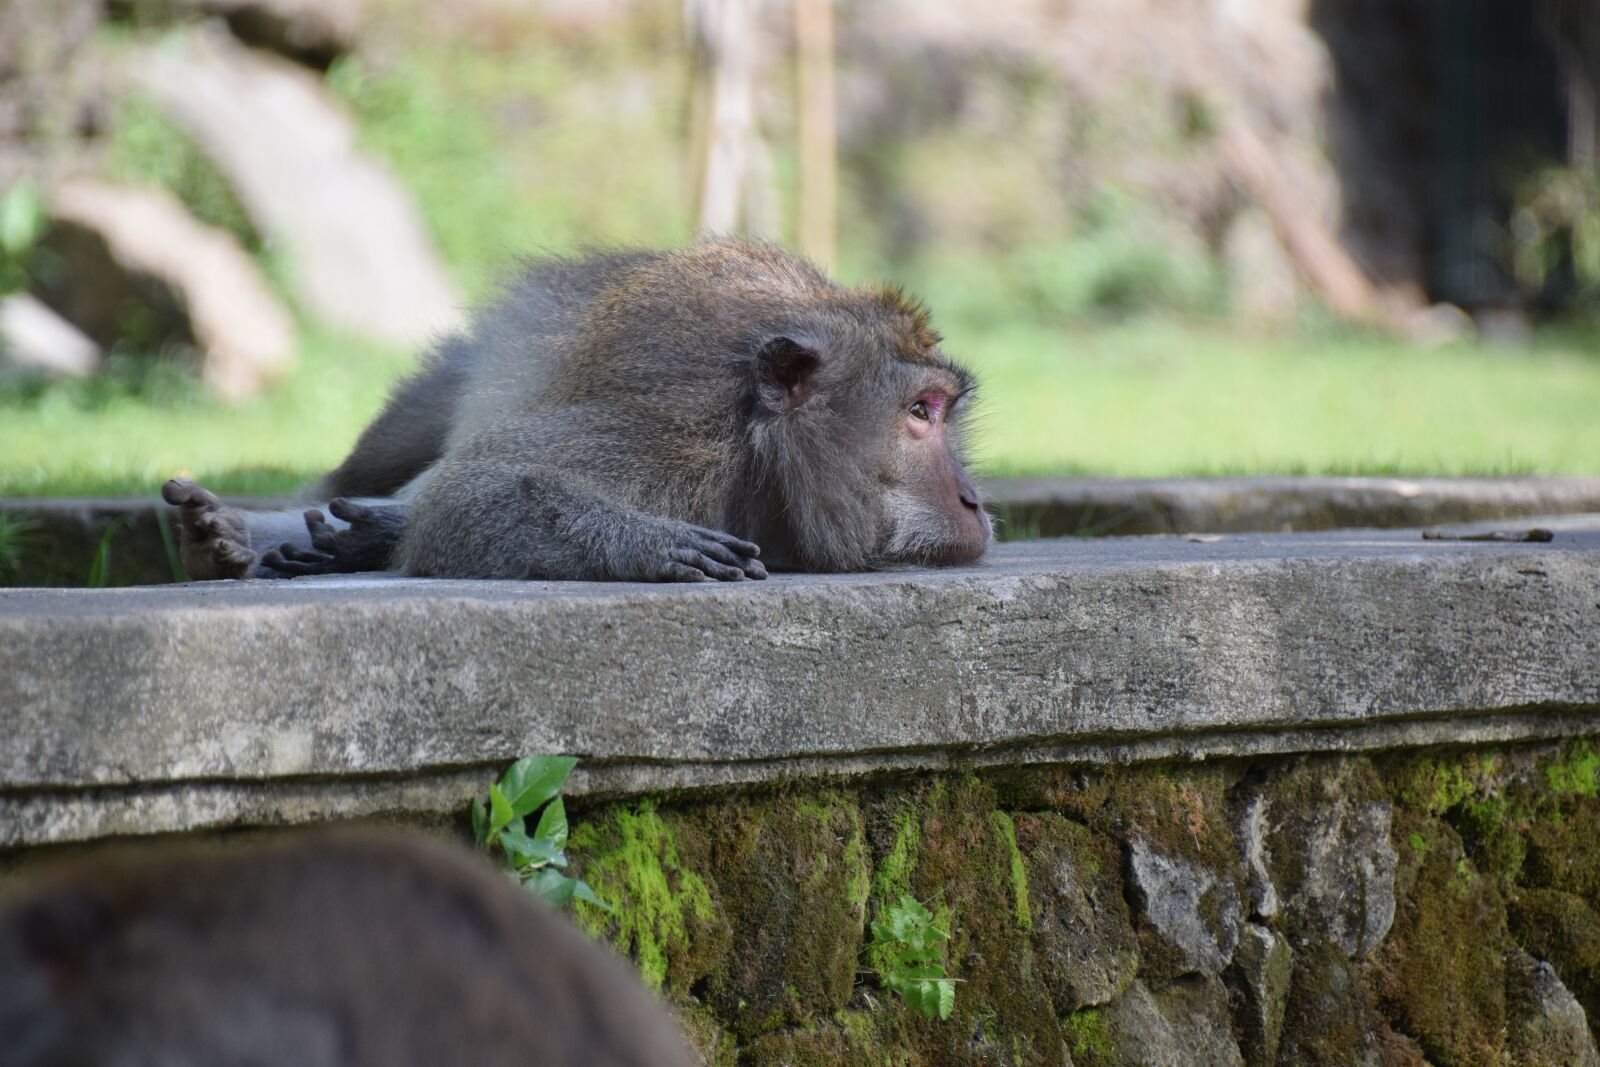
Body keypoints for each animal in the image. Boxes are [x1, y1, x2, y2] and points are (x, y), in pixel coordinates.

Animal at [163, 239, 992, 582]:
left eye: (943, 411)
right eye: (920, 410)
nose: (976, 500)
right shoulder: (671, 434)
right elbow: (474, 493)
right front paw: (645, 546)